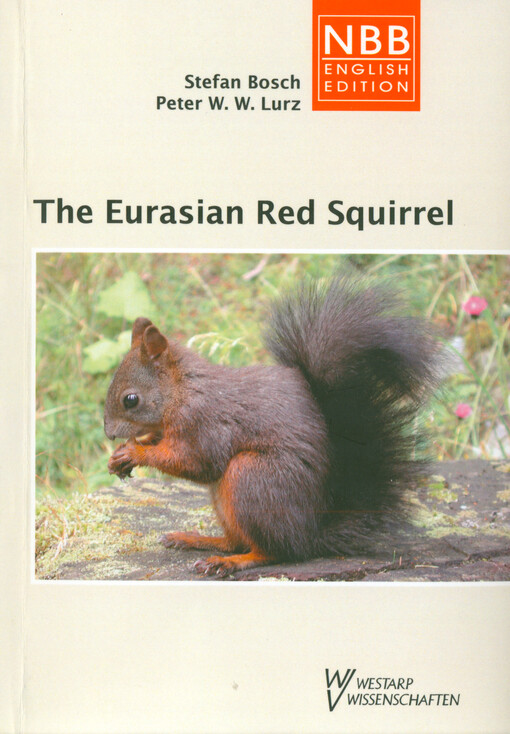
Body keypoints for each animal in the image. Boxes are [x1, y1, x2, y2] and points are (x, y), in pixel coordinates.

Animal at [104, 274, 440, 576]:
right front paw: (121, 455)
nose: (108, 433)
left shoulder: (205, 423)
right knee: (236, 540)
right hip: (227, 499)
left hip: (251, 477)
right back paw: (196, 539)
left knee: (274, 552)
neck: (182, 391)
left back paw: (230, 562)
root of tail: (310, 533)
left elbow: (197, 462)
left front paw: (135, 453)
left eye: (130, 400)